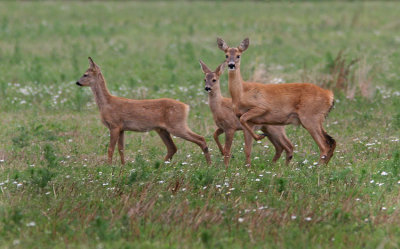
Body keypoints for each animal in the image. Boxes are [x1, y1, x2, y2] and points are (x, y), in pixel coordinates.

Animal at [76, 57, 212, 164]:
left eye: (85, 74)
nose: (77, 82)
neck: (107, 103)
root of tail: (186, 107)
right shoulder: (122, 128)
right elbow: (121, 149)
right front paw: (122, 166)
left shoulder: (114, 125)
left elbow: (110, 149)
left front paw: (109, 167)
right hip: (162, 129)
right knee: (172, 148)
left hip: (177, 125)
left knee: (200, 139)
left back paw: (209, 164)